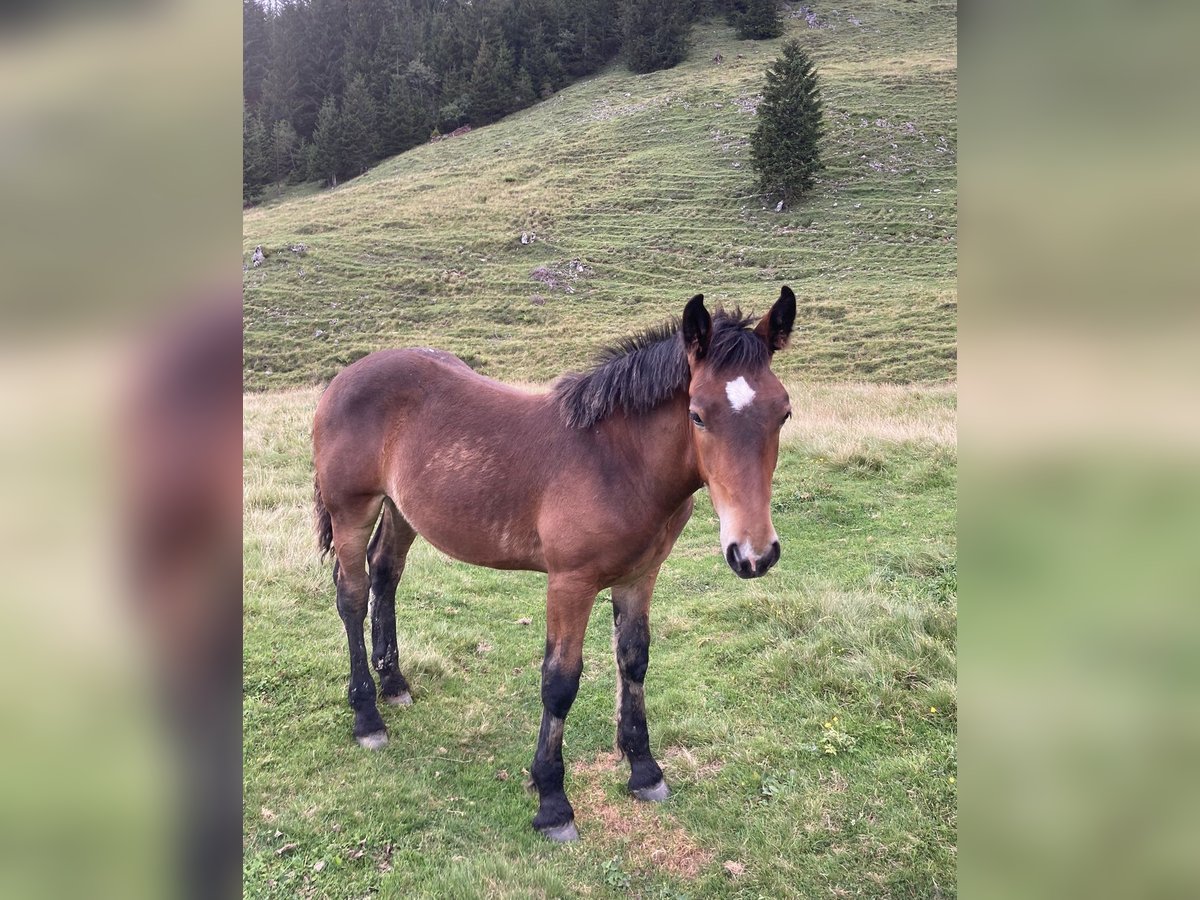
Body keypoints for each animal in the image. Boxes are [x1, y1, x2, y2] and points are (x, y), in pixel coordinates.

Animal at [309, 286, 796, 840]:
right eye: (697, 414)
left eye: (783, 413)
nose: (754, 553)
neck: (618, 462)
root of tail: (345, 376)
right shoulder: (570, 582)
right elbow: (560, 683)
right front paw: (552, 802)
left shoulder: (640, 576)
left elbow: (634, 659)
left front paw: (645, 771)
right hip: (351, 509)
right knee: (352, 593)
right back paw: (367, 716)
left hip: (401, 508)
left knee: (385, 574)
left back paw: (394, 684)